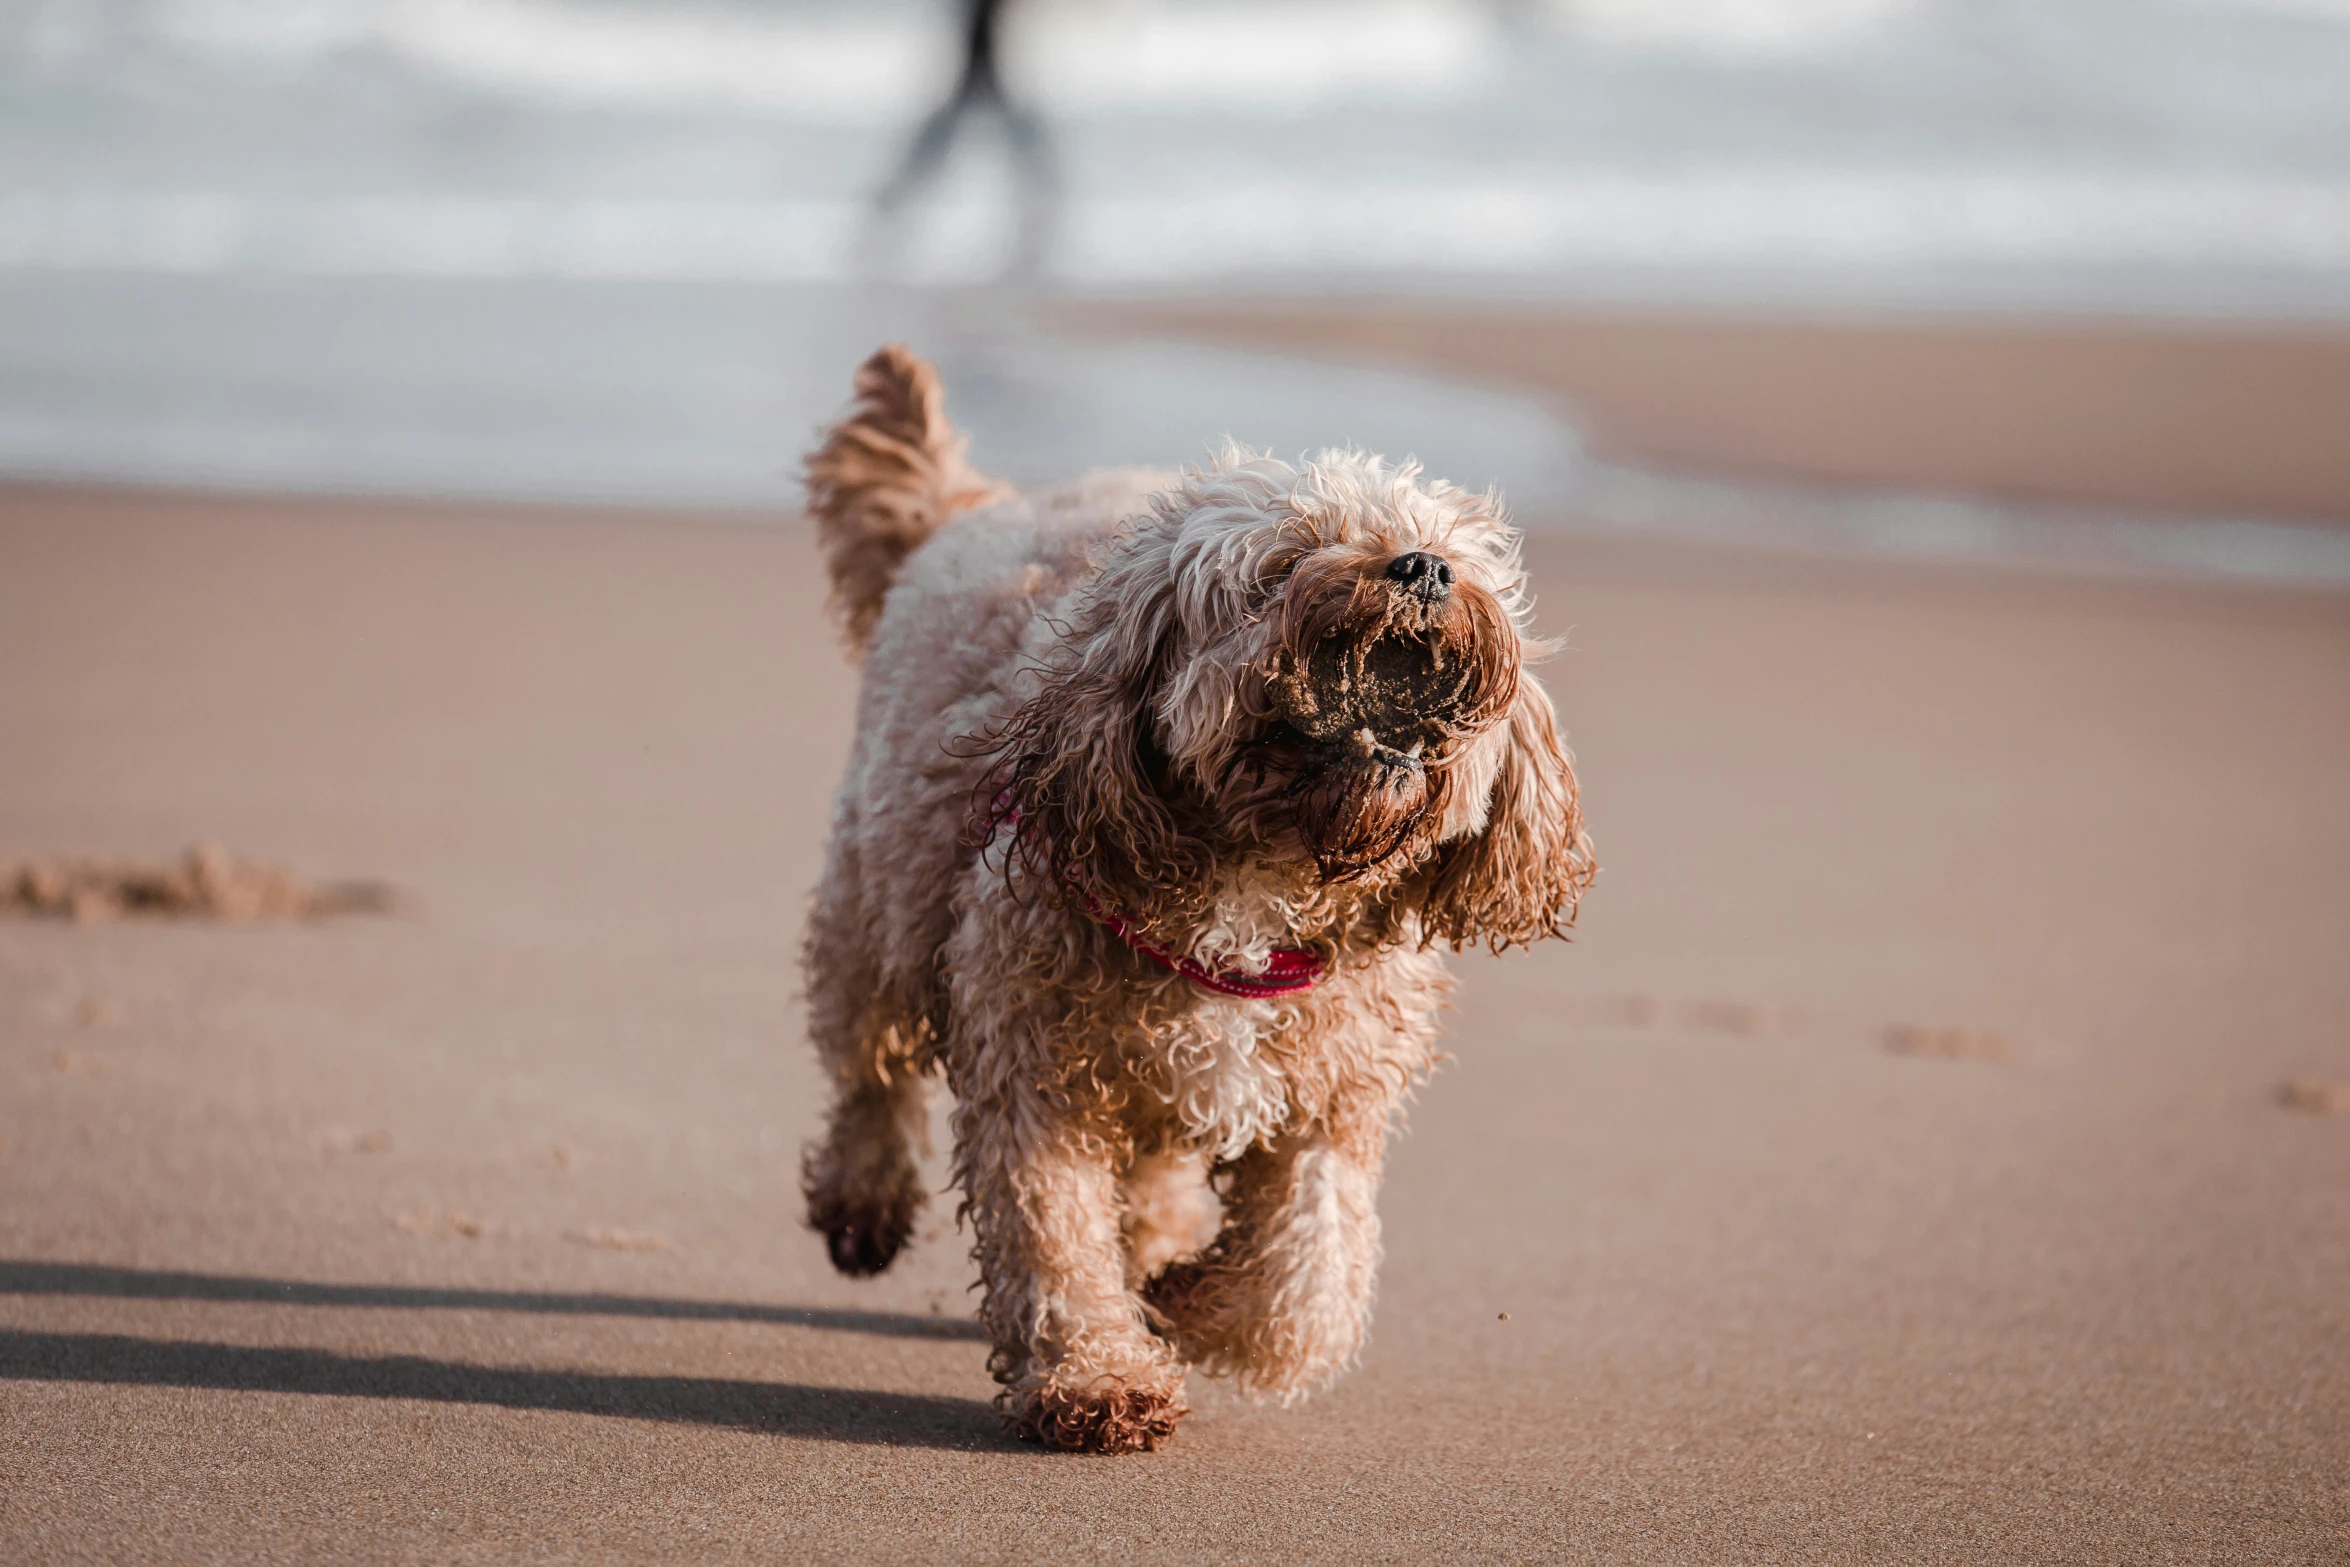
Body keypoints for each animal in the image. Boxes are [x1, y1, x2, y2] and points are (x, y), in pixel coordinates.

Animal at [798, 345, 1588, 1456]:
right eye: (1286, 560)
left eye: (1439, 545)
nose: (1423, 569)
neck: (1264, 888)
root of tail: (972, 506)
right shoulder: (1035, 1072)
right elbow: (1054, 1236)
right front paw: (1100, 1374)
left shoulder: (1332, 1101)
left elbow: (1305, 1289)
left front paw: (1188, 1300)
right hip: (877, 894)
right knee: (868, 1060)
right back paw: (863, 1198)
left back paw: (1159, 1242)